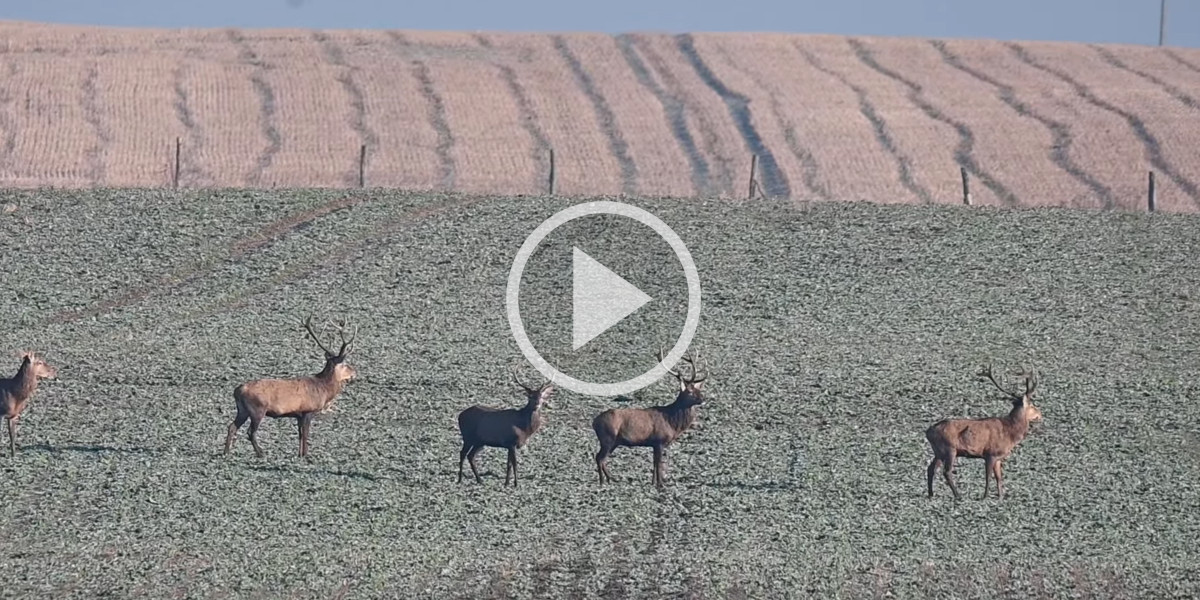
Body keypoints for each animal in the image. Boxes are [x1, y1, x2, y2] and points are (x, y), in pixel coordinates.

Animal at [224, 316, 355, 460]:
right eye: (344, 364)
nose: (354, 372)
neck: (323, 389)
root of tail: (237, 391)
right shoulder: (308, 410)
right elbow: (305, 433)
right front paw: (305, 454)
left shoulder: (298, 415)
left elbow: (300, 434)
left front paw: (300, 453)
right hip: (257, 409)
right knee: (250, 432)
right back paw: (261, 453)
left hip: (242, 410)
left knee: (232, 426)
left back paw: (226, 452)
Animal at [592, 348, 705, 487]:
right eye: (690, 391)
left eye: (699, 390)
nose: (703, 399)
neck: (672, 422)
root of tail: (594, 422)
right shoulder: (659, 440)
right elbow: (659, 462)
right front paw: (661, 484)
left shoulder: (654, 444)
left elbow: (654, 463)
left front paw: (653, 482)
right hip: (607, 438)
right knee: (599, 457)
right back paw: (603, 481)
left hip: (614, 442)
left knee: (602, 458)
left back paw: (610, 479)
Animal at [921, 364, 1046, 501]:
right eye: (1032, 404)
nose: (1040, 414)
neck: (1010, 434)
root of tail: (928, 432)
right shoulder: (990, 453)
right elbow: (988, 476)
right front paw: (985, 496)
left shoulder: (998, 458)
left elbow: (999, 478)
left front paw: (1000, 496)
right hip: (949, 449)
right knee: (946, 471)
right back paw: (958, 495)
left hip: (938, 451)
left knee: (930, 468)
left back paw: (931, 493)